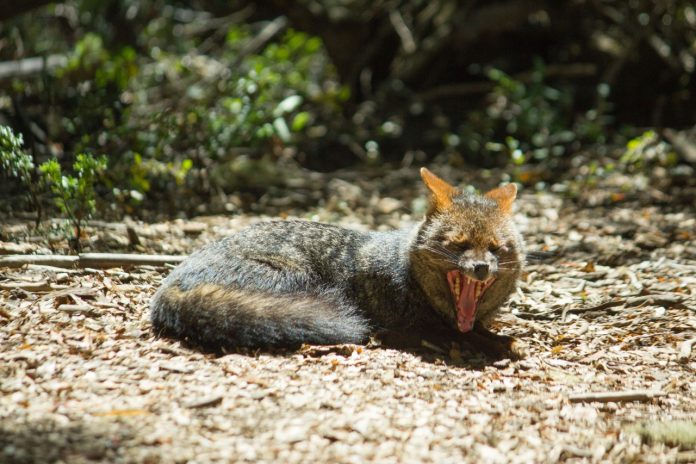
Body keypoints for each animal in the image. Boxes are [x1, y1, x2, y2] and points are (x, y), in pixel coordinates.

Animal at [151, 169, 520, 358]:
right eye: (459, 245)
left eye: (495, 249)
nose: (481, 268)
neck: (406, 273)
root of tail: (168, 285)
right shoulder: (404, 325)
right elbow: (454, 335)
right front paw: (489, 344)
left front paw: (497, 338)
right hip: (299, 278)